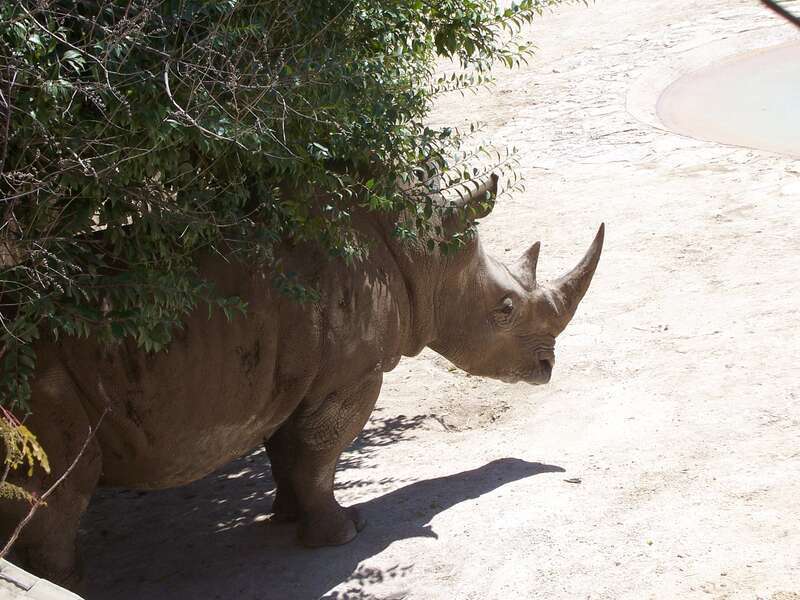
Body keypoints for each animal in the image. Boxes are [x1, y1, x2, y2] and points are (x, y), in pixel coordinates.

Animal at [0, 173, 603, 589]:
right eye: (504, 310)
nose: (547, 369)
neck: (424, 257)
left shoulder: (286, 380)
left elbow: (285, 450)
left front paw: (286, 516)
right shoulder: (350, 376)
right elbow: (319, 451)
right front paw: (342, 533)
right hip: (36, 375)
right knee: (62, 488)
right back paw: (72, 585)